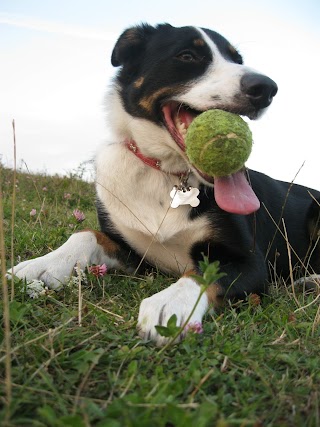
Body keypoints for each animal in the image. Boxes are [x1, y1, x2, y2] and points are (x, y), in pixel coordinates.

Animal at [10, 23, 320, 346]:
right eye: (187, 55)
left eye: (237, 60)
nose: (266, 88)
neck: (167, 174)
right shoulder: (135, 252)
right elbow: (87, 234)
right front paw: (43, 264)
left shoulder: (250, 261)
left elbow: (205, 271)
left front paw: (171, 303)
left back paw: (311, 281)